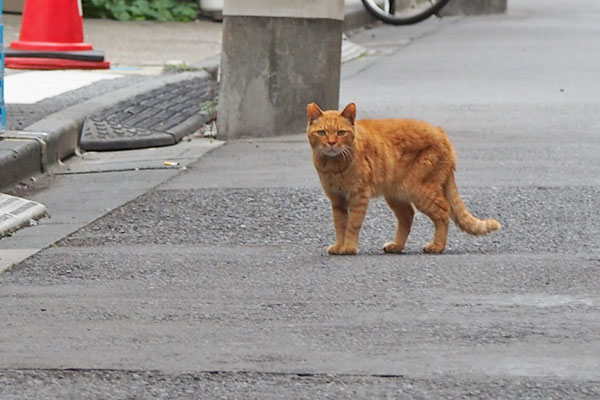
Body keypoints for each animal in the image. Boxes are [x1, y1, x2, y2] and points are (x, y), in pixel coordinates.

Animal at [308, 101, 500, 255]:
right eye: (322, 133)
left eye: (341, 133)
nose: (332, 143)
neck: (332, 165)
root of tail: (441, 133)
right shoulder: (337, 200)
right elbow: (340, 225)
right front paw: (339, 246)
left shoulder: (358, 196)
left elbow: (353, 224)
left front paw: (349, 248)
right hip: (396, 193)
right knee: (408, 215)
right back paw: (397, 246)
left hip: (418, 190)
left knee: (443, 211)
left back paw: (437, 246)